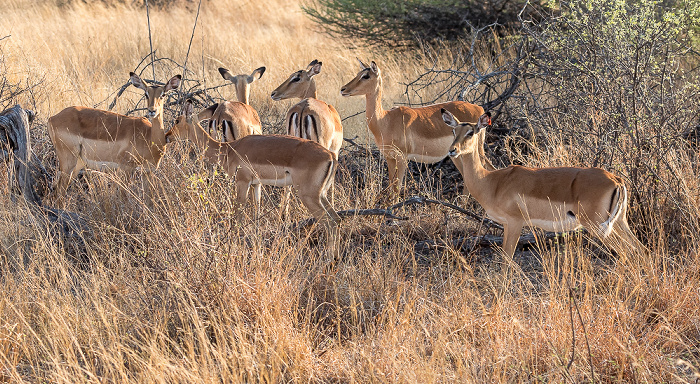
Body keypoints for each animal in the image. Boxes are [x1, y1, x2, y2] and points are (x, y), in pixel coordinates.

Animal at [47, 73, 180, 198]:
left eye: (163, 94)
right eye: (146, 94)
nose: (152, 110)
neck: (150, 138)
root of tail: (52, 118)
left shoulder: (147, 172)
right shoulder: (126, 169)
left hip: (78, 164)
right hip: (68, 162)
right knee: (59, 191)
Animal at [340, 60, 492, 198]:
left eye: (366, 76)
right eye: (358, 73)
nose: (343, 89)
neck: (385, 120)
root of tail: (479, 108)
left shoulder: (402, 158)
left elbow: (396, 190)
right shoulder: (389, 158)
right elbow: (391, 188)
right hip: (458, 155)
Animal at [440, 109, 644, 258]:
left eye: (470, 132)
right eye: (453, 131)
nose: (452, 150)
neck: (492, 182)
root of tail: (617, 180)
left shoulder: (515, 222)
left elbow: (507, 260)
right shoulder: (506, 225)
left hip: (597, 227)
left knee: (627, 252)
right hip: (619, 223)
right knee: (640, 250)